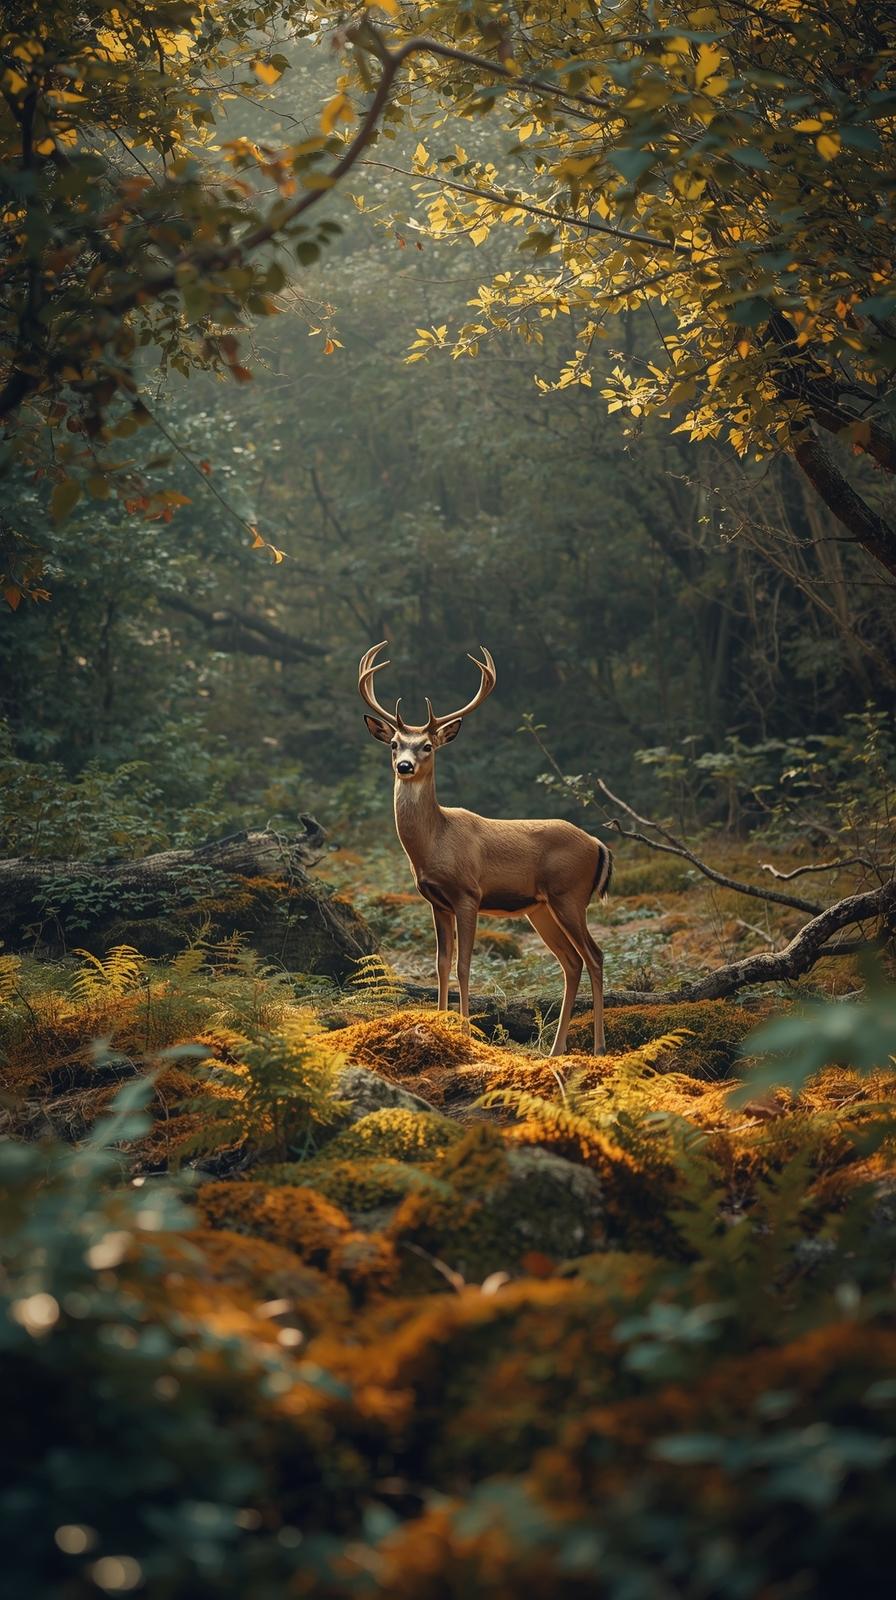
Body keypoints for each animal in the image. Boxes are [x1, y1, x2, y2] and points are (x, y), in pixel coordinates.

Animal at [359, 642, 613, 1054]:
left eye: (427, 745)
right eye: (395, 744)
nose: (405, 765)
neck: (435, 842)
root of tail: (597, 843)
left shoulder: (468, 893)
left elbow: (464, 965)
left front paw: (464, 1031)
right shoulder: (436, 901)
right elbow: (441, 964)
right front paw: (440, 1025)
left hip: (570, 894)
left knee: (594, 956)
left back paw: (598, 1048)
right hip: (540, 908)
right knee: (571, 962)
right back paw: (554, 1049)